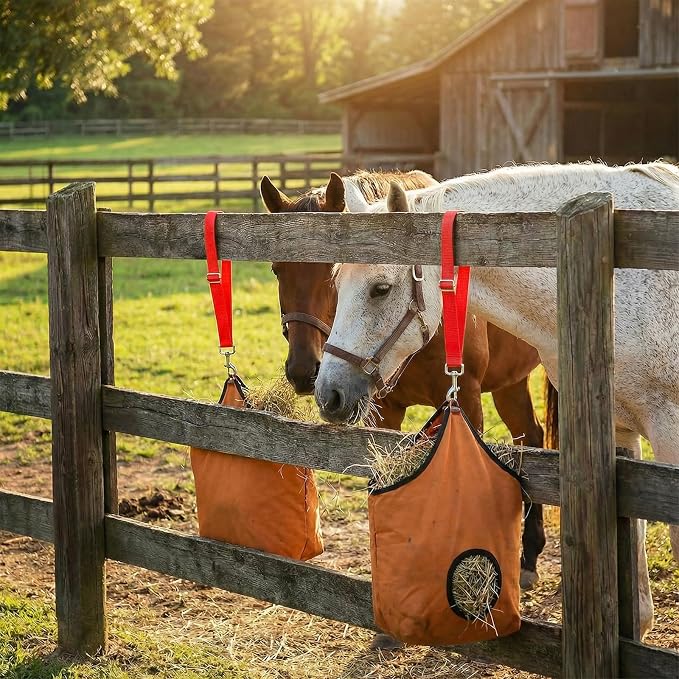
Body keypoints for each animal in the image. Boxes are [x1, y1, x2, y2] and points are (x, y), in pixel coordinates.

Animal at [260, 171, 554, 590]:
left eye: (331, 271)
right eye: (276, 269)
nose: (303, 370)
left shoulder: (466, 401)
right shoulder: (385, 412)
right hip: (510, 385)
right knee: (529, 435)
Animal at [314, 161, 679, 638]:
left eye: (380, 289)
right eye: (336, 284)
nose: (329, 393)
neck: (621, 280)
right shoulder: (619, 434)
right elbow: (631, 545)